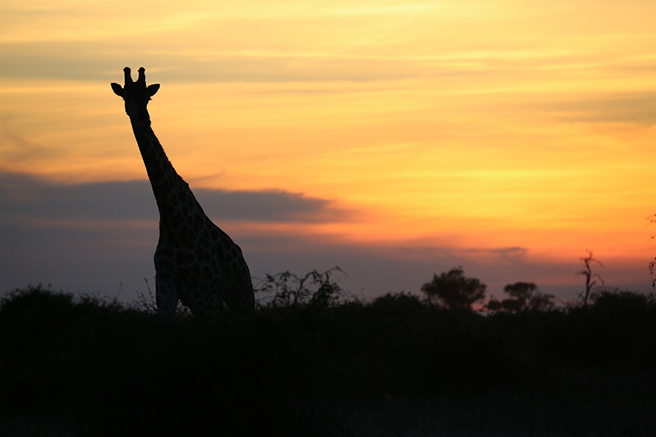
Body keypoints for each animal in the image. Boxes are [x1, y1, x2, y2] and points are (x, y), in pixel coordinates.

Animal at [111, 66, 255, 318]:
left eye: (148, 98)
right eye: (125, 97)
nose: (143, 118)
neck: (174, 222)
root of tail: (241, 256)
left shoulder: (205, 296)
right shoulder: (166, 292)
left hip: (241, 294)